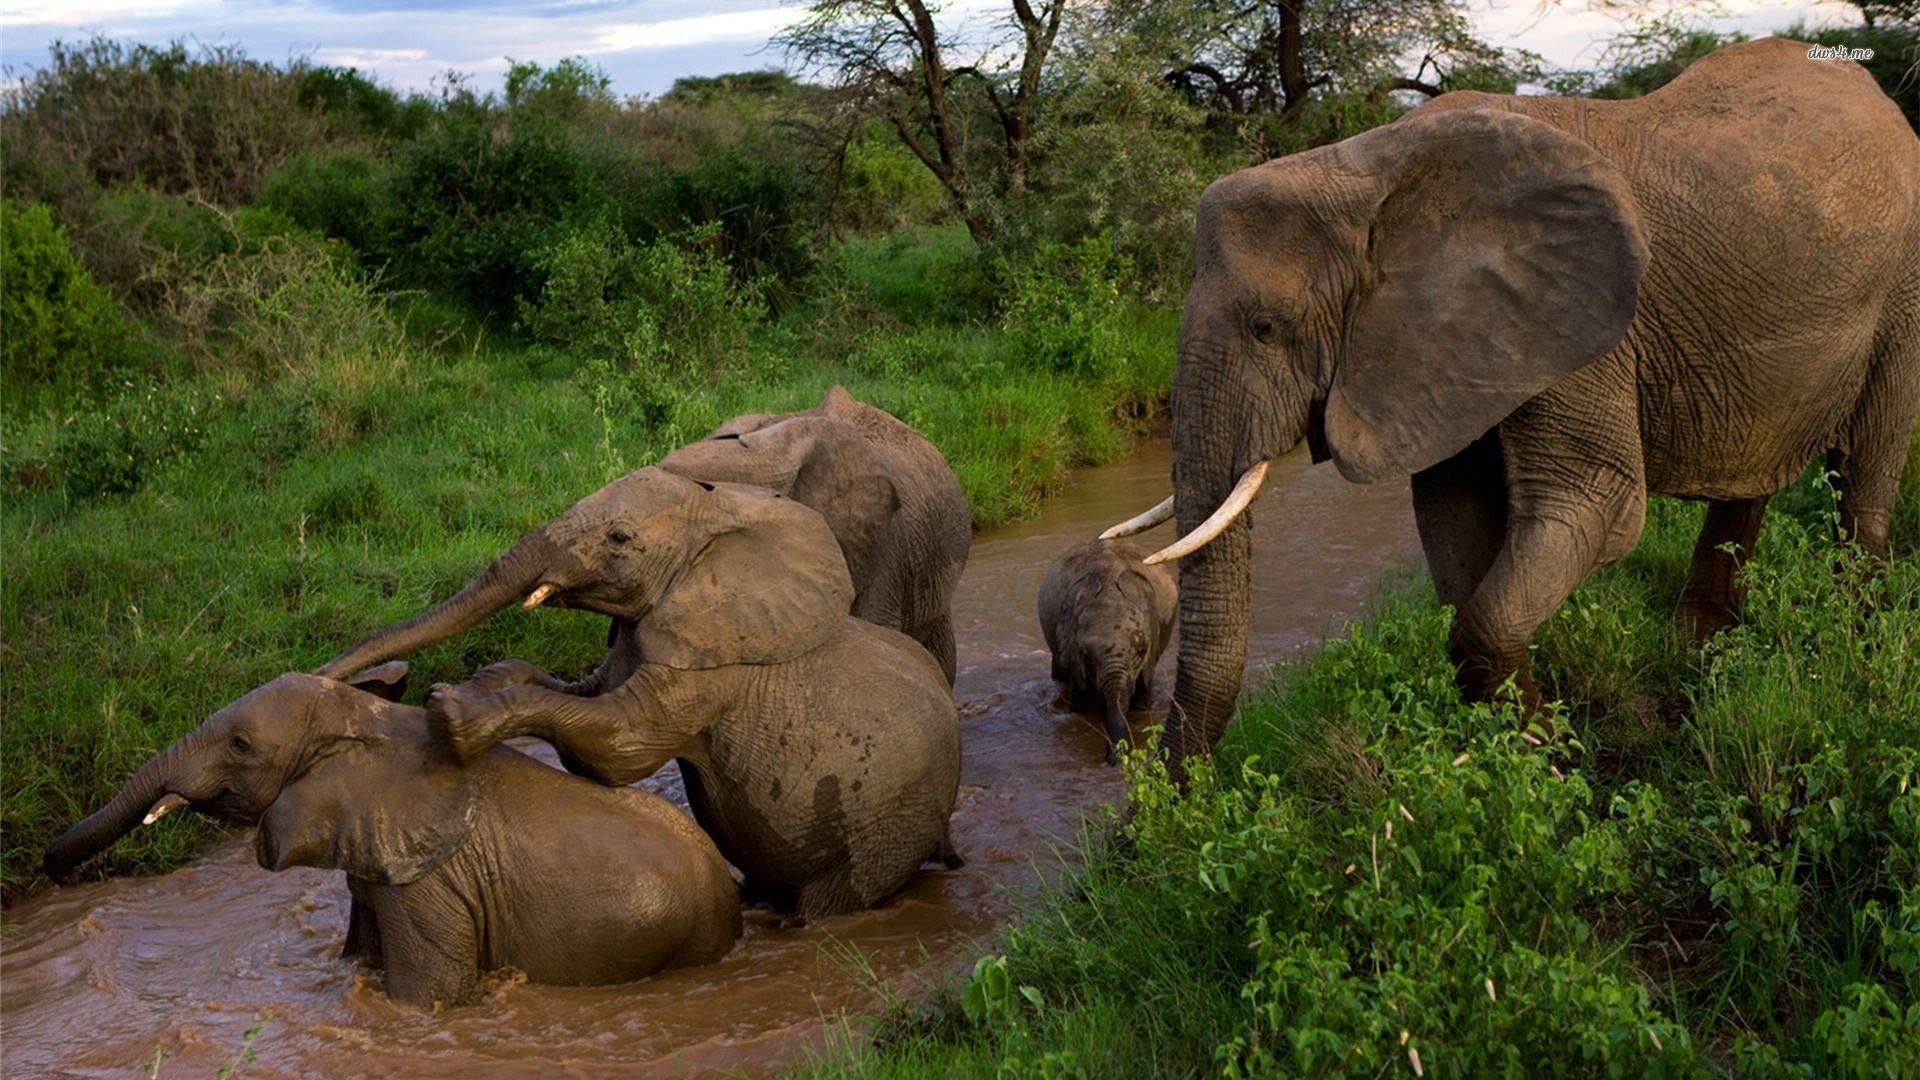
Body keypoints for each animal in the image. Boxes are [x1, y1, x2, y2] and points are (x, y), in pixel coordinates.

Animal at [315, 469, 964, 918]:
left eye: (619, 537)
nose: (331, 675)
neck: (719, 516)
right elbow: (579, 691)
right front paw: (478, 683)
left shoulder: (711, 663)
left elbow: (620, 747)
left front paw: (450, 714)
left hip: (886, 823)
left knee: (833, 899)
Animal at [1102, 39, 1920, 763]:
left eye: (1267, 328)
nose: (1161, 800)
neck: (1363, 171)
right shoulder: (1448, 350)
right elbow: (1457, 529)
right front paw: (1528, 750)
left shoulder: (1574, 327)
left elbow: (1596, 505)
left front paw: (1549, 758)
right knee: (1752, 477)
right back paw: (1700, 647)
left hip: (1903, 284)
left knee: (1866, 467)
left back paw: (1853, 644)